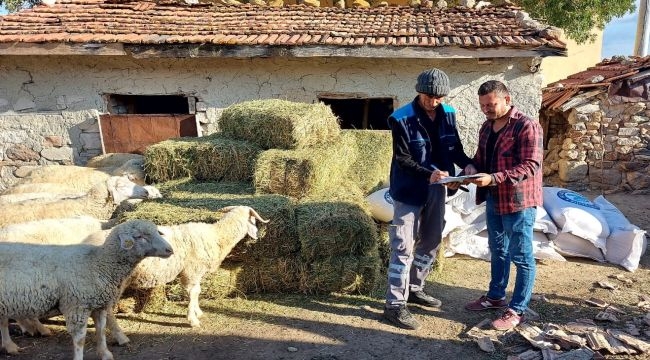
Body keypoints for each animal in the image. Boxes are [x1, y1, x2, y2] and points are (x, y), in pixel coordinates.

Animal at [0, 218, 173, 358]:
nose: (170, 250)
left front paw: (105, 354)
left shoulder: (99, 305)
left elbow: (101, 331)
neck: (99, 263)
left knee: (3, 321)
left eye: (157, 232)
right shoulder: (77, 306)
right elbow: (80, 340)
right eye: (140, 237)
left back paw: (12, 344)